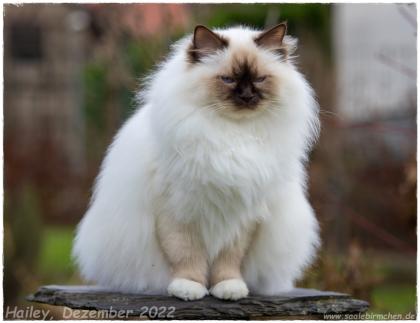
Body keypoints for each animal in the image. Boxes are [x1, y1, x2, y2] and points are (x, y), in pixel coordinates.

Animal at [73, 24, 322, 302]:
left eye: (259, 79)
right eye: (227, 79)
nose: (247, 96)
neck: (232, 134)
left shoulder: (240, 217)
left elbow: (228, 261)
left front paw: (228, 288)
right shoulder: (177, 212)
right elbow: (186, 255)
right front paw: (189, 288)